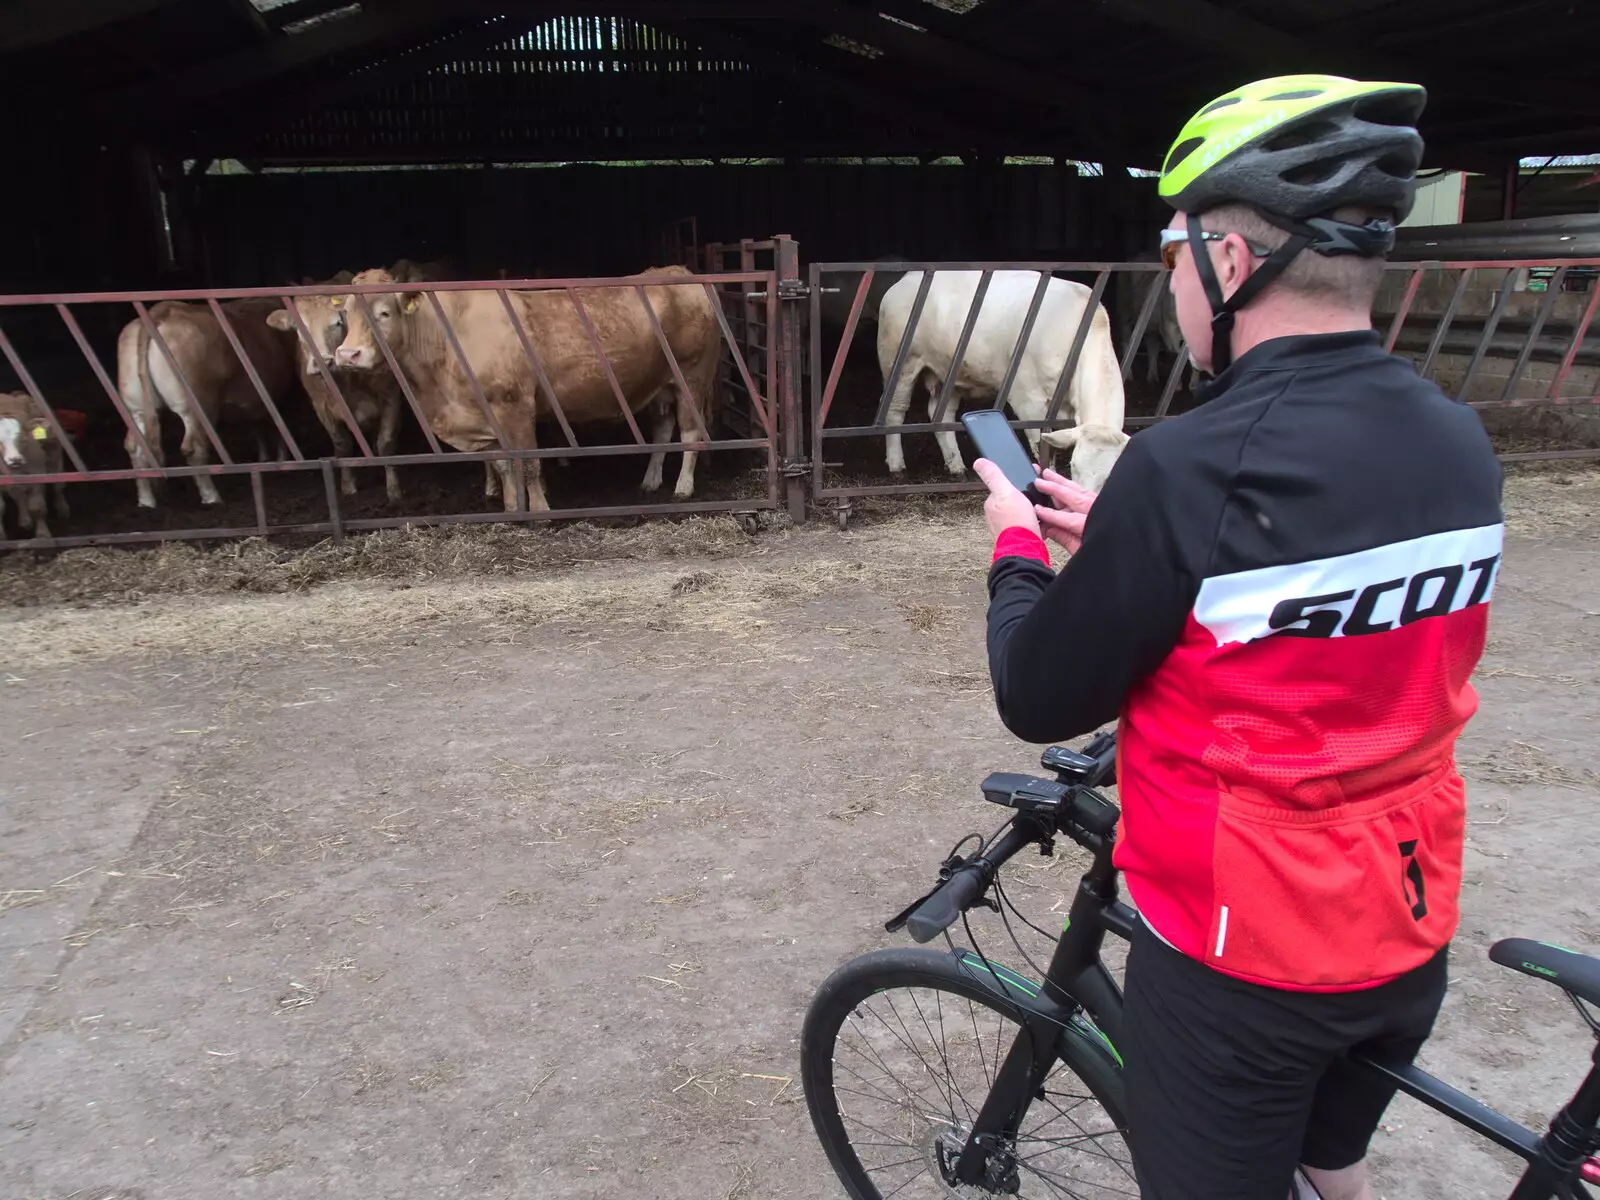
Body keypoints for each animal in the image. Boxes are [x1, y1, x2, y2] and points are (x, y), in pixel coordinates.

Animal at [0, 395, 69, 540]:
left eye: (23, 437)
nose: (14, 459)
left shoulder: (37, 471)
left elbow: (36, 506)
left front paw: (42, 534)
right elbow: (1, 506)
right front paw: (2, 536)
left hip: (55, 454)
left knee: (58, 486)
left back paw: (62, 508)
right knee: (18, 494)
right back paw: (25, 520)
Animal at [116, 302, 300, 508]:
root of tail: (163, 309)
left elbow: (258, 426)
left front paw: (265, 457)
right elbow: (280, 428)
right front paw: (283, 461)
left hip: (136, 406)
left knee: (135, 447)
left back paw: (146, 500)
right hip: (198, 407)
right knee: (194, 449)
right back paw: (211, 496)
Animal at [334, 267, 716, 512]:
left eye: (385, 312)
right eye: (345, 316)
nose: (348, 354)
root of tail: (677, 271)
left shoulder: (514, 405)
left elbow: (529, 463)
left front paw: (540, 509)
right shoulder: (484, 416)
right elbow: (504, 465)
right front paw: (511, 507)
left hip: (692, 375)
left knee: (691, 431)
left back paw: (683, 488)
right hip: (660, 384)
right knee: (663, 429)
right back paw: (651, 481)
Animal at [883, 272, 1132, 492]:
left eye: (1111, 476)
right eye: (1073, 466)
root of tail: (907, 278)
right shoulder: (1027, 399)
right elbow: (1041, 448)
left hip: (950, 373)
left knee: (940, 414)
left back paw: (956, 466)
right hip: (899, 363)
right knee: (895, 412)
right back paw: (897, 466)